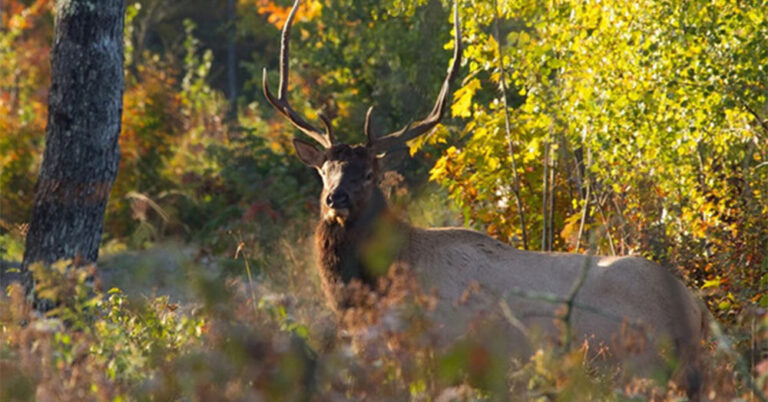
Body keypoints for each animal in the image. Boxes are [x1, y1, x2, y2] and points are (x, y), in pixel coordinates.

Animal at [263, 0, 708, 395]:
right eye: (324, 171)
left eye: (370, 173)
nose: (335, 199)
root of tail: (696, 309)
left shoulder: (443, 354)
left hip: (641, 363)